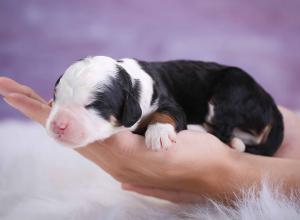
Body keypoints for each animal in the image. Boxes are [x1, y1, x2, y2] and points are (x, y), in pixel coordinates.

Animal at [46, 55, 284, 156]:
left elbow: (167, 114)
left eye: (93, 105)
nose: (58, 125)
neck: (132, 82)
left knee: (223, 133)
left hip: (230, 93)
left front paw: (158, 135)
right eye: (57, 97)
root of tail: (270, 102)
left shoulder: (167, 101)